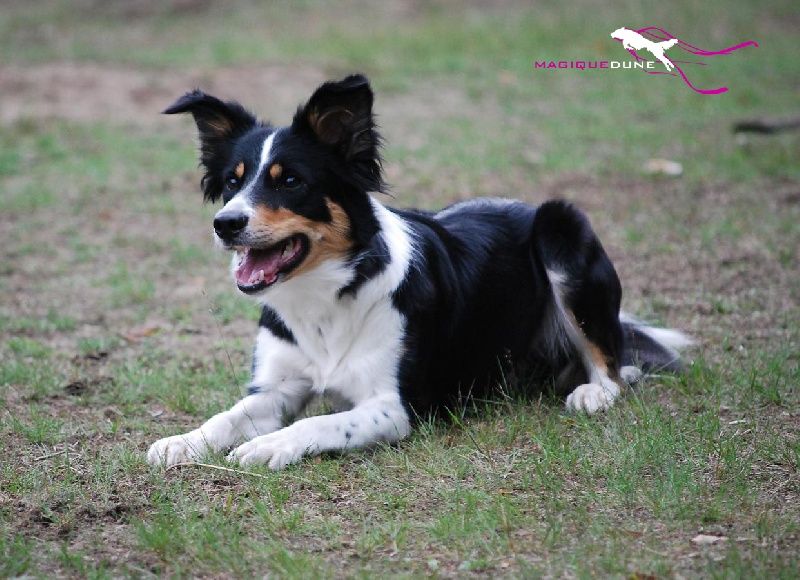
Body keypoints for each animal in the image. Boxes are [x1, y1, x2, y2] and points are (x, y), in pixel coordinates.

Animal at [147, 73, 692, 472]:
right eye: (231, 184)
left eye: (291, 182)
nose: (225, 224)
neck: (326, 296)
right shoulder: (276, 389)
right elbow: (226, 416)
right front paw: (183, 440)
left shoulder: (396, 406)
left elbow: (319, 424)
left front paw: (269, 446)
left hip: (561, 229)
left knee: (616, 366)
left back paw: (594, 391)